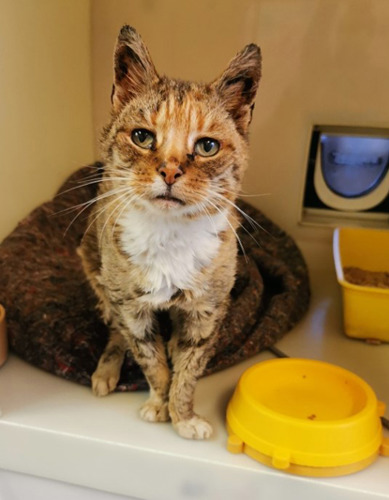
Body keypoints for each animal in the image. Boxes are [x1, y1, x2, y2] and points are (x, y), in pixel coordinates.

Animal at [77, 24, 260, 438]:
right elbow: (151, 361)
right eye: (143, 137)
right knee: (114, 329)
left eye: (207, 146)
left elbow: (190, 369)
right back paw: (106, 370)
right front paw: (160, 405)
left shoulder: (207, 310)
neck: (169, 235)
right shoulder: (131, 308)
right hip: (95, 267)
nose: (171, 171)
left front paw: (184, 415)